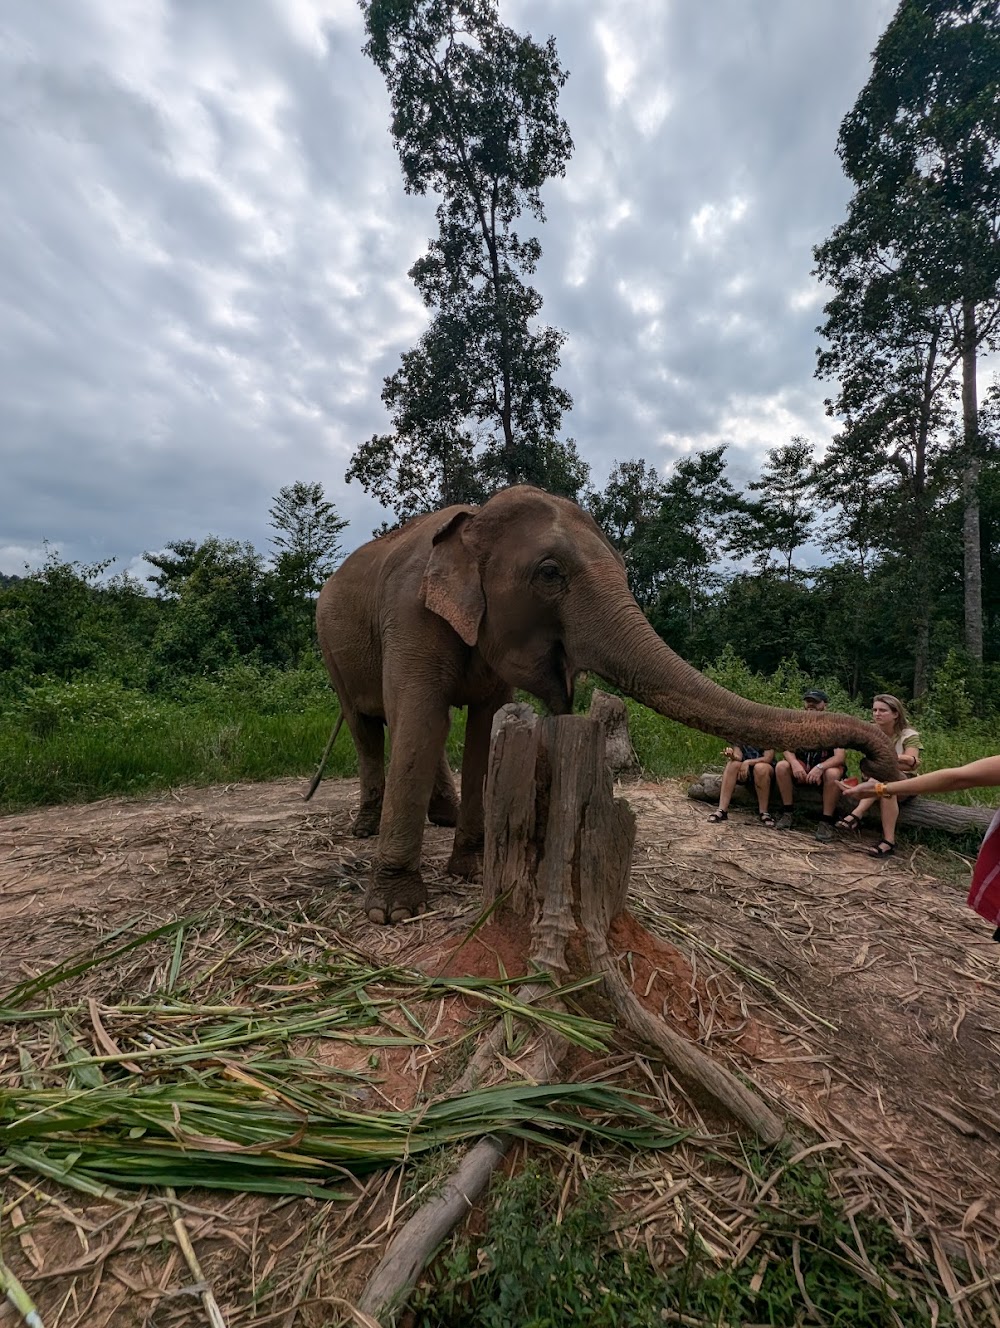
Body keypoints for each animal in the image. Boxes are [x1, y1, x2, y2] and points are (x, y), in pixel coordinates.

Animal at [316, 486, 892, 924]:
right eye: (550, 573)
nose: (879, 762)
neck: (473, 520)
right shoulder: (410, 615)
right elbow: (421, 717)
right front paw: (395, 911)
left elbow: (482, 727)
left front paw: (474, 871)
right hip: (331, 650)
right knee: (371, 726)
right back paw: (364, 828)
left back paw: (441, 817)